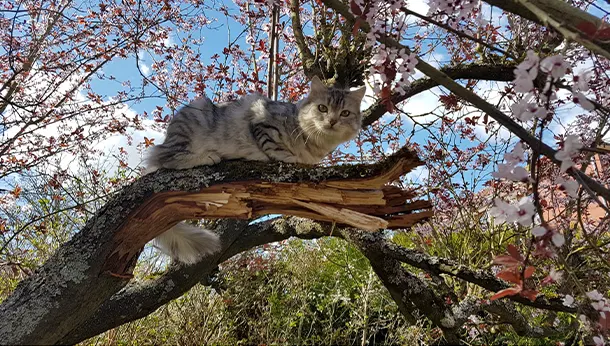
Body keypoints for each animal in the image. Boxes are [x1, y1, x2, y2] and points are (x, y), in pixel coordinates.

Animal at [147, 76, 366, 264]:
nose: (332, 121)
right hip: (193, 119)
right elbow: (277, 150)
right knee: (165, 157)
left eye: (345, 113)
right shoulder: (262, 123)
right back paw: (207, 156)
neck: (315, 144)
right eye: (322, 108)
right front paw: (290, 158)